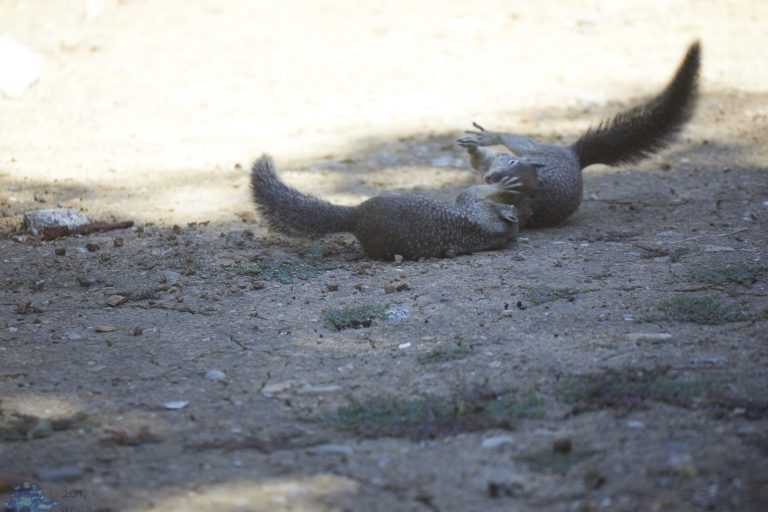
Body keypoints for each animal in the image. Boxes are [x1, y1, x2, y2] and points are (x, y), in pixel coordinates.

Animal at [250, 154, 521, 260]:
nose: (513, 207)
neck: (491, 230)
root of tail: (355, 216)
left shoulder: (474, 207)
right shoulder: (475, 205)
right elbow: (474, 190)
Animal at [458, 41, 701, 228]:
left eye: (514, 186)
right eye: (511, 162)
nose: (492, 177)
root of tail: (575, 156)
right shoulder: (495, 162)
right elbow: (481, 160)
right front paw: (474, 147)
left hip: (536, 148)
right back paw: (486, 138)